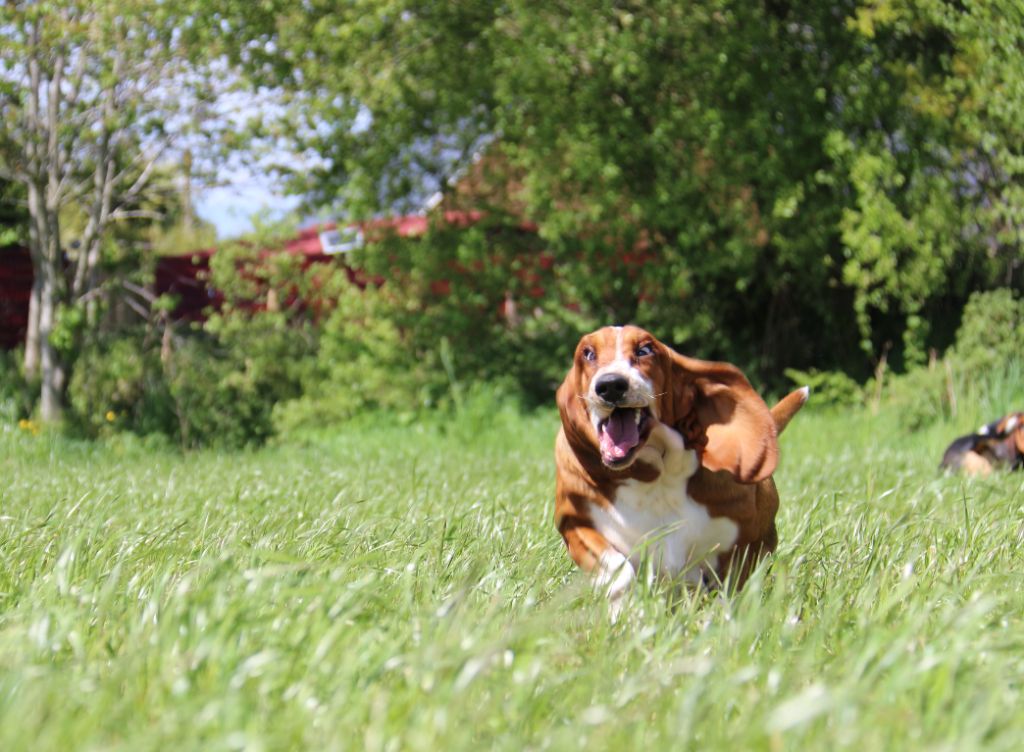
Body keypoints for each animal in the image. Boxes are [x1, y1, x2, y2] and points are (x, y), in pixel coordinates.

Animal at [554, 325, 808, 611]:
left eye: (645, 350)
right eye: (588, 353)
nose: (610, 385)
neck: (654, 472)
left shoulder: (744, 540)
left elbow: (729, 586)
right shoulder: (574, 521)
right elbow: (620, 571)